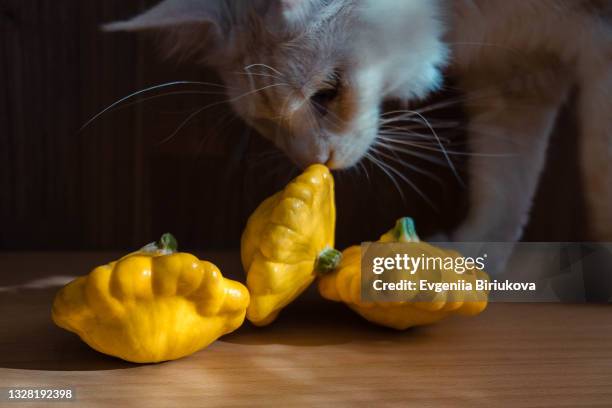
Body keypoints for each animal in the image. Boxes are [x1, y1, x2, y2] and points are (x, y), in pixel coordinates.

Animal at [107, 0, 608, 242]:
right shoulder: (516, 78)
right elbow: (503, 188)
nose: (316, 160)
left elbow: (596, 181)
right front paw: (475, 263)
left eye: (327, 93)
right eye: (266, 122)